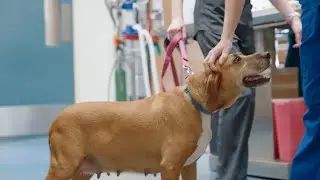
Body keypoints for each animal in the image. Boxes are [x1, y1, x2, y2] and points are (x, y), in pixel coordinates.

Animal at [44, 51, 270, 179]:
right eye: (237, 59)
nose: (268, 54)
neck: (194, 101)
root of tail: (56, 120)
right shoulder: (170, 167)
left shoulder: (189, 167)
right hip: (63, 168)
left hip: (82, 171)